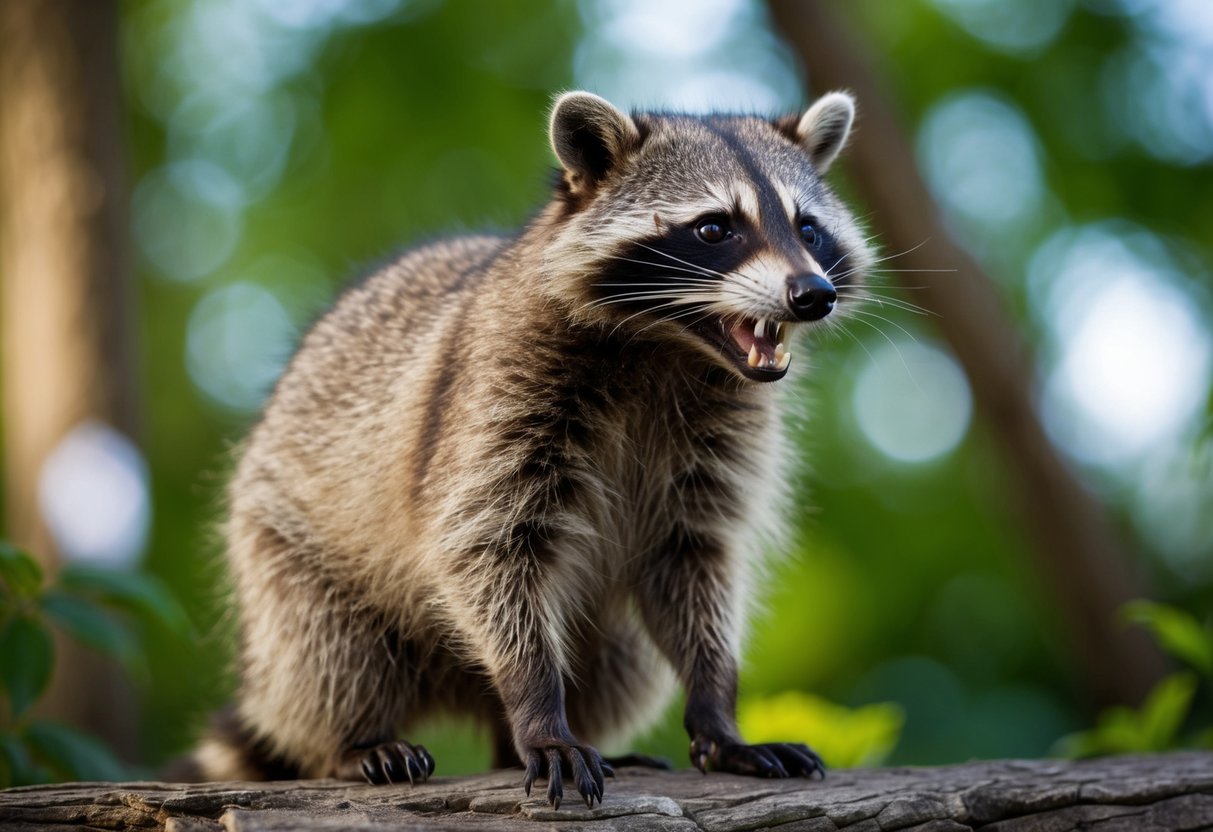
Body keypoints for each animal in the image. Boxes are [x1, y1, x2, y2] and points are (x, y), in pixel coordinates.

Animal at [193, 90, 873, 809]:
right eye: (715, 229)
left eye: (808, 230)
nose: (813, 294)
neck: (667, 347)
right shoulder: (494, 395)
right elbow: (485, 548)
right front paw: (538, 703)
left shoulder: (718, 442)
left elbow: (692, 562)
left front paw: (717, 710)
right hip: (283, 549)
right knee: (328, 652)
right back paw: (354, 743)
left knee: (622, 657)